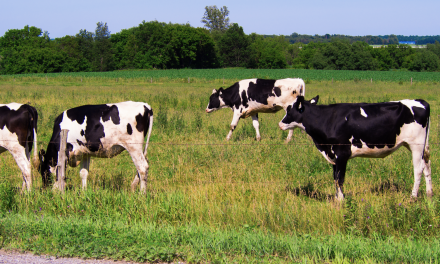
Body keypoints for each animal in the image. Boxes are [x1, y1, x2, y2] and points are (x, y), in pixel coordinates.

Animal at [280, 96, 432, 201]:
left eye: (289, 110)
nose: (280, 124)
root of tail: (420, 101)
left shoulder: (342, 153)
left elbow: (340, 178)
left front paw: (341, 201)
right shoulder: (333, 155)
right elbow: (335, 177)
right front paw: (337, 199)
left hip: (416, 145)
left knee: (418, 169)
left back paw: (413, 197)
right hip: (421, 147)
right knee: (427, 165)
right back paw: (429, 194)